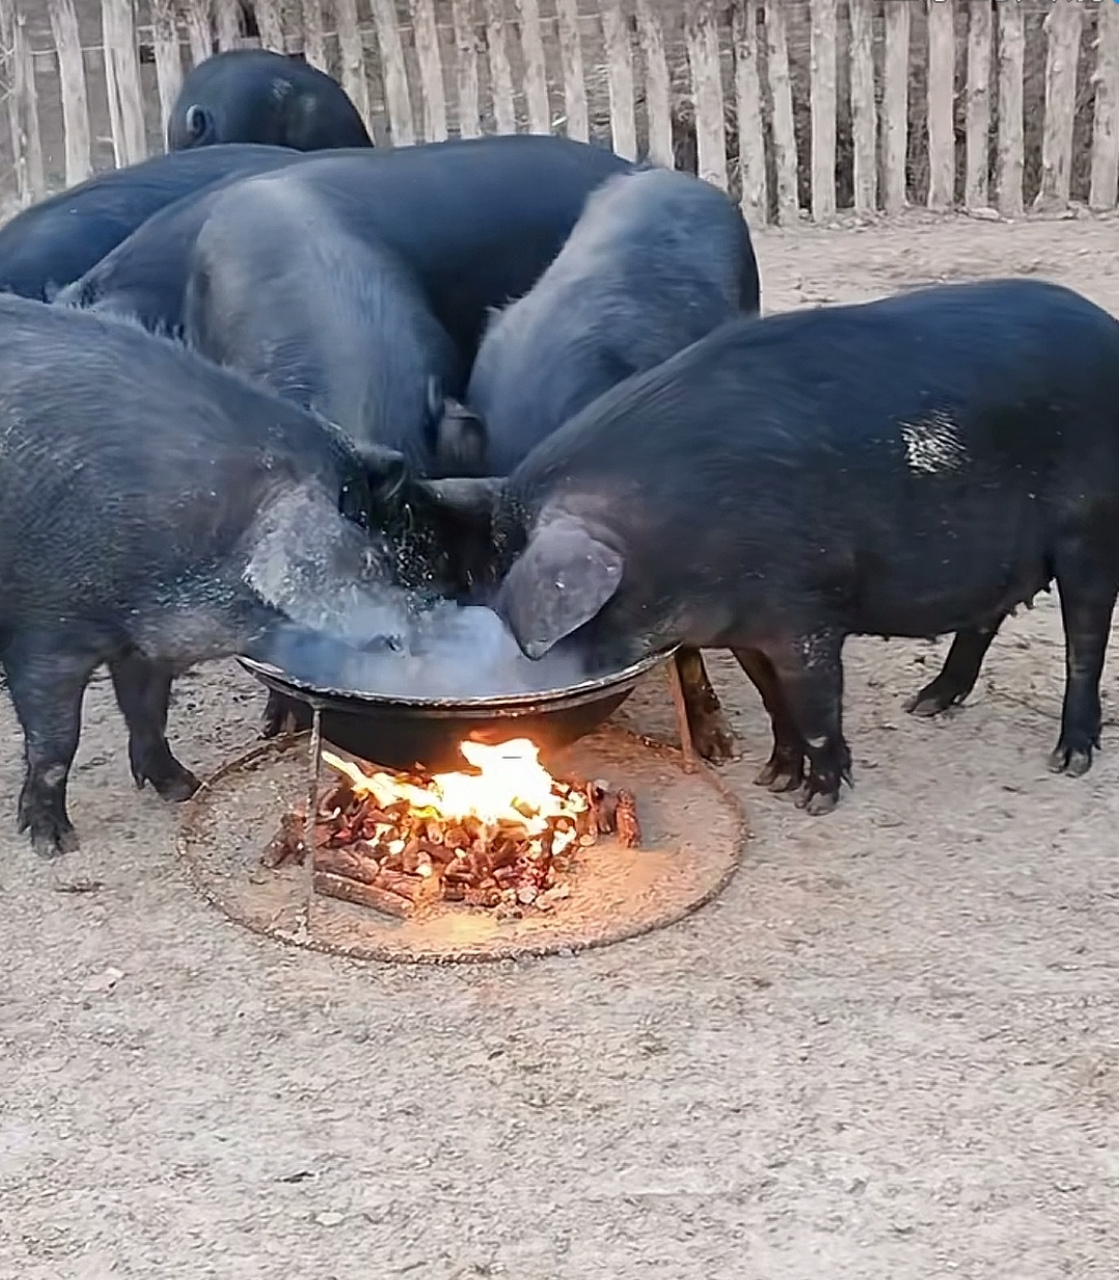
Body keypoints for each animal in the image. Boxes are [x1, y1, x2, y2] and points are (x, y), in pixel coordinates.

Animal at [412, 281, 1119, 814]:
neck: (679, 538)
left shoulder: (805, 614)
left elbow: (814, 702)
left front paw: (816, 798)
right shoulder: (745, 627)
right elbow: (774, 699)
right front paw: (774, 778)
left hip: (1090, 529)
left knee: (1085, 639)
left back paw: (1070, 759)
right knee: (986, 616)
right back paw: (926, 704)